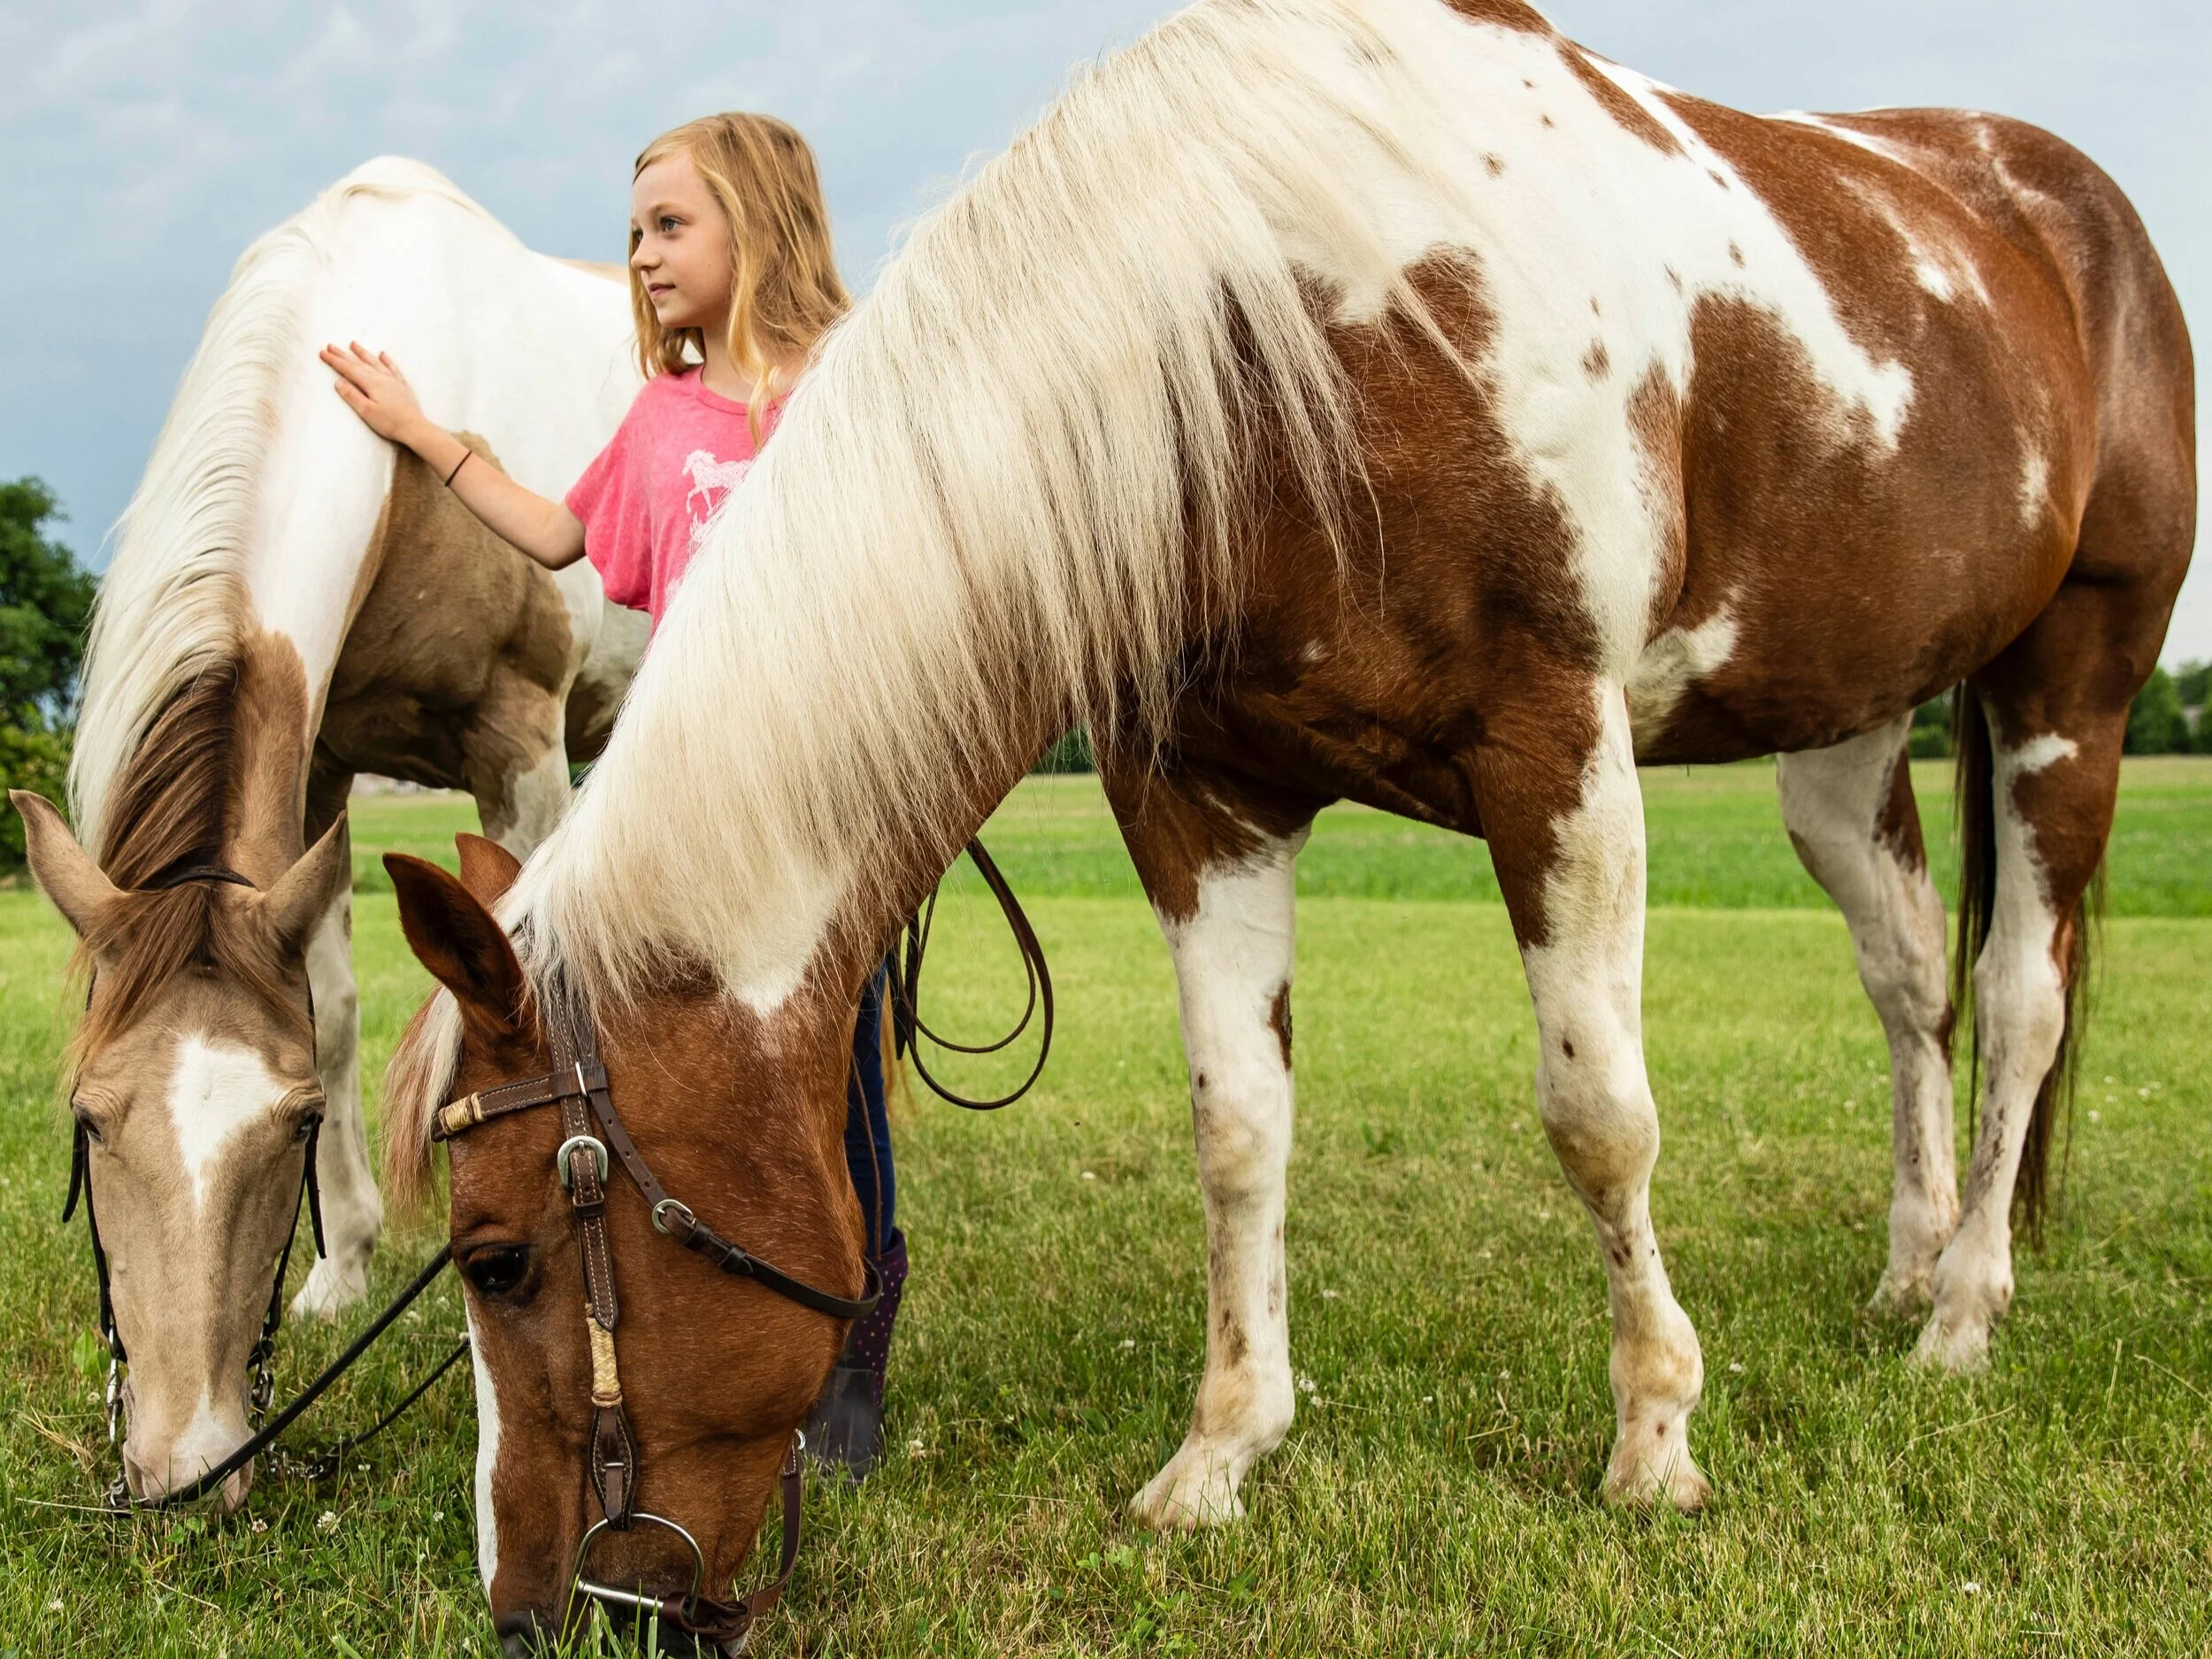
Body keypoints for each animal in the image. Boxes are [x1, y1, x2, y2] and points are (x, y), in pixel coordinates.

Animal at [12, 156, 649, 1506]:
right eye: (88, 1118)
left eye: (292, 1124)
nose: (189, 1462)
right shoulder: (316, 765)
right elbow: (335, 1000)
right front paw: (342, 1266)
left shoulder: (519, 743)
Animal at [380, 0, 2192, 1637]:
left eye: (497, 1257)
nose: (534, 1606)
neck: (1290, 325)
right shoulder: (1203, 800)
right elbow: (1238, 1129)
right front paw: (1222, 1453)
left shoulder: (1561, 749)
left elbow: (1599, 1117)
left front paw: (1654, 1436)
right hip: (1845, 737)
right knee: (1912, 985)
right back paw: (1907, 1262)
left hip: (2072, 690)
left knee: (2022, 996)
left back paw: (1963, 1311)